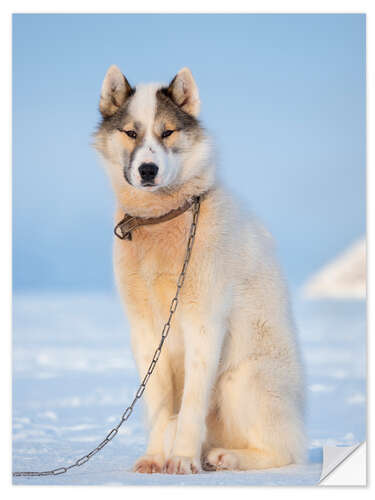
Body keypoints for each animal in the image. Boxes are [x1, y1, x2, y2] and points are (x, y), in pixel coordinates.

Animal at [93, 65, 306, 472]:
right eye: (131, 133)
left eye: (167, 132)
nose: (148, 169)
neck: (162, 220)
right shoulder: (146, 332)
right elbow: (159, 406)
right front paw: (154, 458)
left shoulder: (204, 323)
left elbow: (191, 405)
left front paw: (181, 460)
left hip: (242, 379)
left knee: (285, 452)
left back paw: (225, 457)